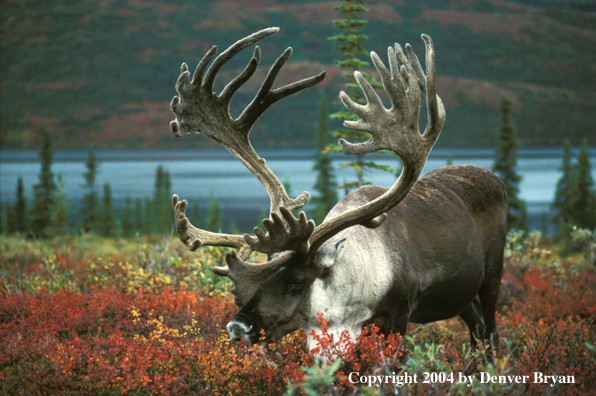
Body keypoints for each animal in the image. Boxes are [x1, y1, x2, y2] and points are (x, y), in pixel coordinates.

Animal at [169, 27, 508, 352]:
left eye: (296, 281)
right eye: (256, 279)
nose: (237, 327)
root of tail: (496, 179)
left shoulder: (398, 317)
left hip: (492, 274)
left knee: (491, 331)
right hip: (461, 296)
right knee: (477, 330)